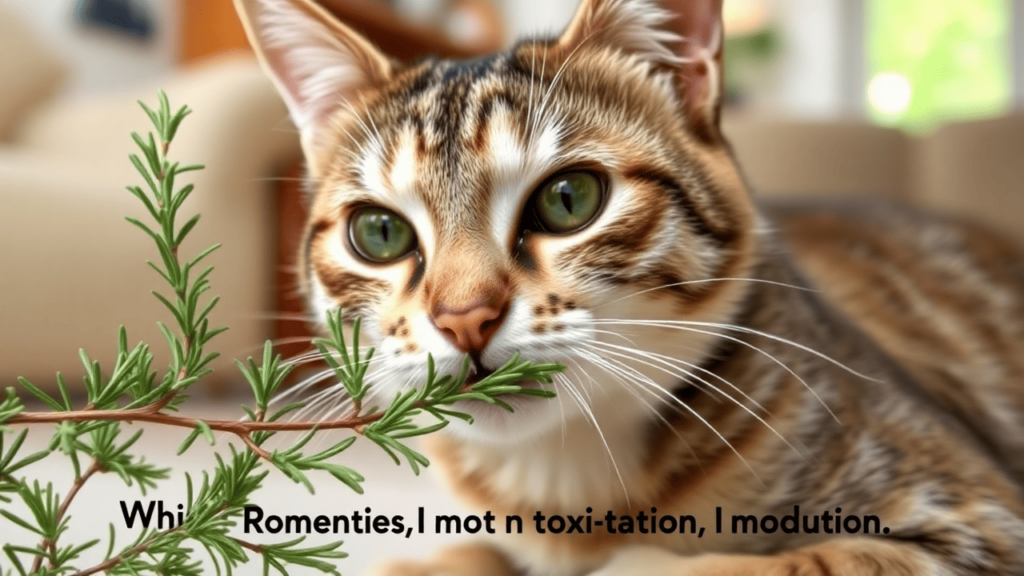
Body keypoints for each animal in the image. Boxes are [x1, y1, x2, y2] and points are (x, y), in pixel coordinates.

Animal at [235, 0, 1024, 569]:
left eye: (569, 199)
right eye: (379, 233)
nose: (464, 318)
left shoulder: (975, 516)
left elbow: (752, 562)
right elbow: (467, 554)